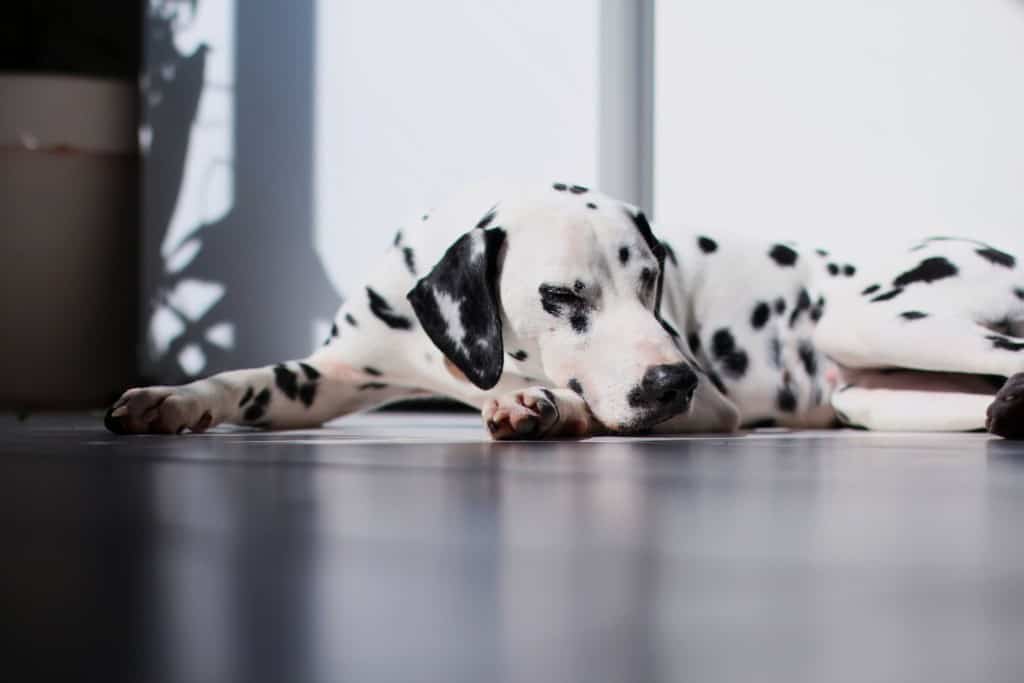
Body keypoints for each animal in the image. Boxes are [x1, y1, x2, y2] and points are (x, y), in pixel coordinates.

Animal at [105, 179, 1024, 440]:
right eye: (560, 297)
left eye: (652, 279)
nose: (673, 383)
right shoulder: (323, 376)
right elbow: (244, 379)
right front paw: (169, 397)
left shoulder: (716, 407)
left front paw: (539, 403)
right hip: (871, 390)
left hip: (870, 315)